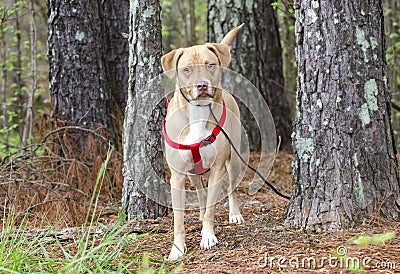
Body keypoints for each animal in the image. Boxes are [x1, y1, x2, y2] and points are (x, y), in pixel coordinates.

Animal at [160, 24, 244, 260]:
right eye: (187, 69)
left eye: (210, 65)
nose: (202, 85)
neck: (197, 112)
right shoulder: (177, 176)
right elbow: (178, 219)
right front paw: (177, 249)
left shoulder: (217, 168)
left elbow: (212, 209)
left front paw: (208, 237)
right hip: (191, 173)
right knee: (199, 190)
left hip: (234, 160)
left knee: (231, 188)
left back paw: (234, 214)